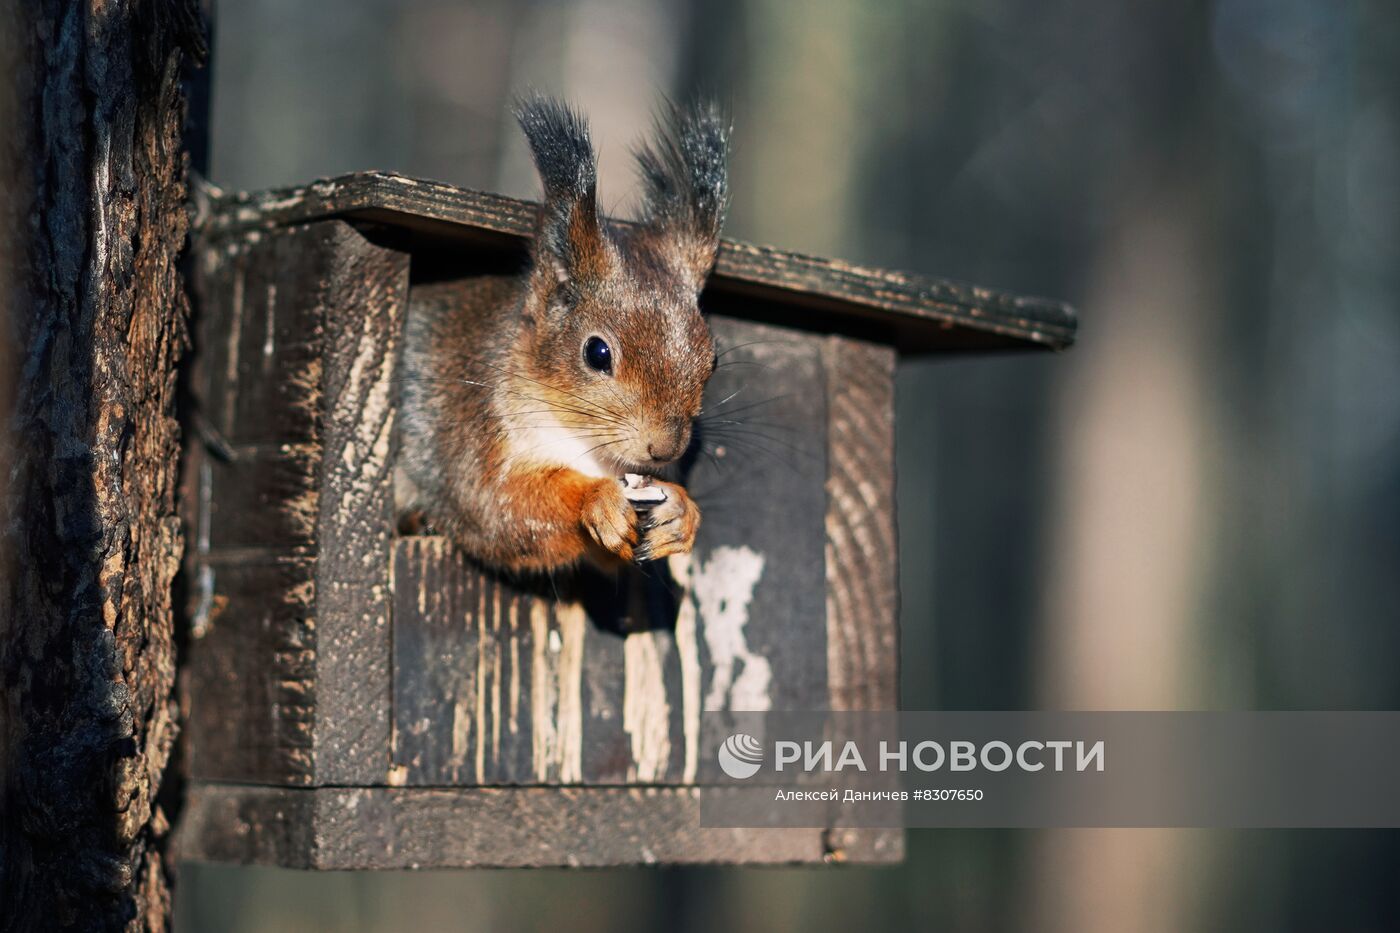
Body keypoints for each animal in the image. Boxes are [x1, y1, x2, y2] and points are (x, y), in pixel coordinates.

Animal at [397, 95, 733, 574]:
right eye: (597, 352)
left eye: (713, 359)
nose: (665, 449)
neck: (584, 443)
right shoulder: (473, 434)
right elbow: (500, 507)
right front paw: (598, 499)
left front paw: (681, 512)